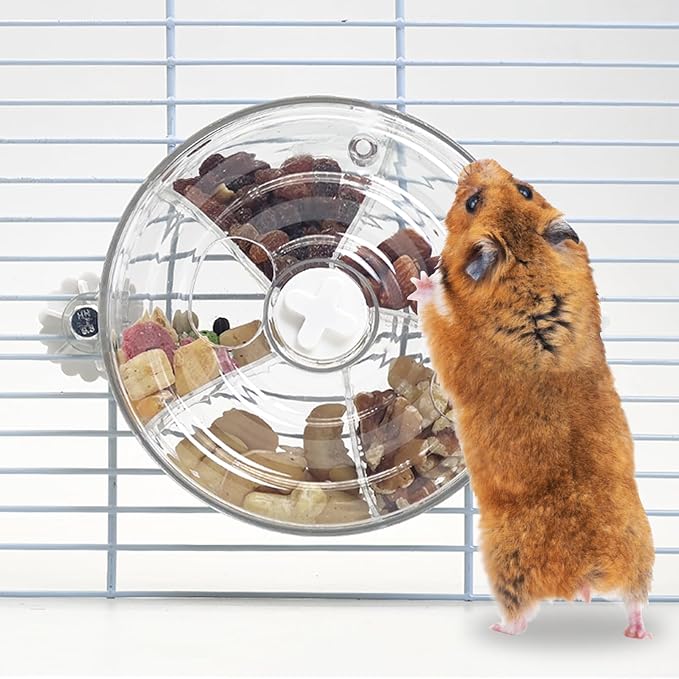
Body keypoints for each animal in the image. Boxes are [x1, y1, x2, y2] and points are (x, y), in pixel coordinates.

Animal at [409, 159, 654, 638]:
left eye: (471, 202)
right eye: (526, 189)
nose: (478, 162)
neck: (529, 264)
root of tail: (588, 568)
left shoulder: (450, 339)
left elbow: (433, 307)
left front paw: (421, 279)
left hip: (506, 561)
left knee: (519, 612)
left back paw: (501, 628)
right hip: (640, 547)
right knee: (635, 598)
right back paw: (637, 630)